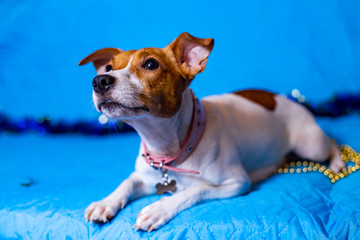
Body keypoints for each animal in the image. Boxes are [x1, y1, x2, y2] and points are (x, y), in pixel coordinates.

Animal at [79, 32, 346, 232]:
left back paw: (337, 164)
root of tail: (284, 97)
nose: (100, 81)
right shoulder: (144, 176)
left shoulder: (237, 182)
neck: (169, 148)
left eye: (151, 64)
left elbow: (195, 190)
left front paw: (159, 208)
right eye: (109, 67)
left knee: (332, 143)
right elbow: (126, 182)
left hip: (311, 144)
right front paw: (106, 203)